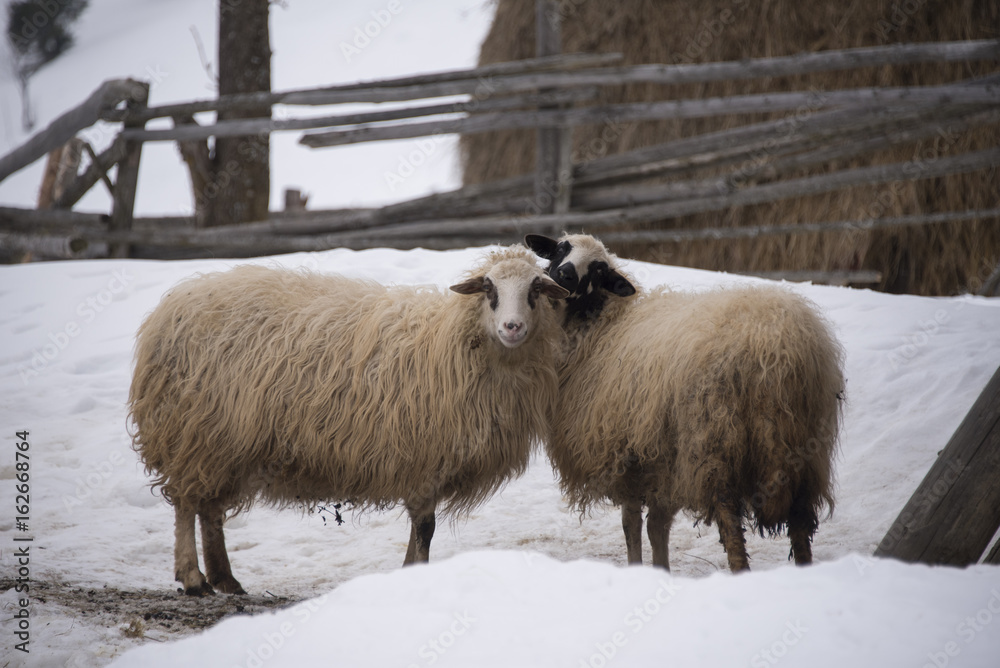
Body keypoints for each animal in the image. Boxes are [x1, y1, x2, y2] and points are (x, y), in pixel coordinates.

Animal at [131, 247, 572, 596]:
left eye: (535, 289)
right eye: (489, 289)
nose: (512, 327)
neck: (450, 342)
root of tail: (174, 303)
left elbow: (420, 528)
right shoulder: (425, 457)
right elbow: (425, 527)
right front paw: (414, 574)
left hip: (225, 444)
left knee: (209, 510)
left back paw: (225, 579)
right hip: (193, 431)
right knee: (186, 504)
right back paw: (193, 578)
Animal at [524, 232, 844, 572]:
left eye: (599, 270)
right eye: (561, 249)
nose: (565, 275)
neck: (603, 326)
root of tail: (777, 345)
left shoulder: (626, 456)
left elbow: (633, 525)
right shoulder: (660, 460)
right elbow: (657, 526)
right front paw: (659, 569)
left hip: (715, 444)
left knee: (731, 527)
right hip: (804, 451)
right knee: (800, 525)